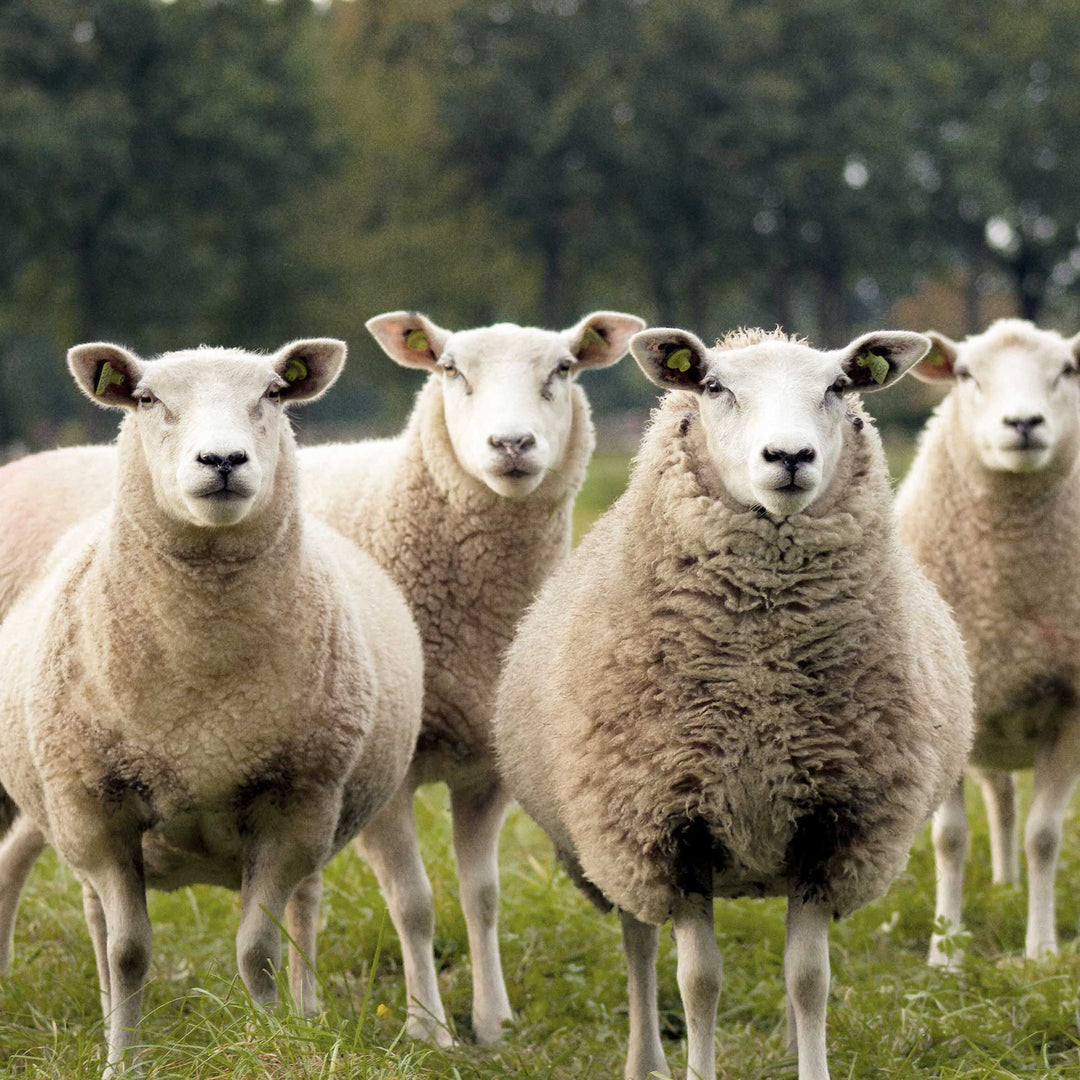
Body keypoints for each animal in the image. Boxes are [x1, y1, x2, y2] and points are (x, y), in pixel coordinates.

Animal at [0, 339, 423, 1076]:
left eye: (274, 394)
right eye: (147, 399)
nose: (222, 460)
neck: (203, 690)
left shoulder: (294, 805)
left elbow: (260, 948)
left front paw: (275, 1043)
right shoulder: (95, 808)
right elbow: (127, 951)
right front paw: (121, 1060)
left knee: (304, 907)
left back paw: (307, 1015)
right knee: (95, 919)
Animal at [299, 309, 644, 1043]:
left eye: (564, 368)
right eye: (451, 369)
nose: (511, 443)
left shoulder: (488, 768)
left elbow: (482, 897)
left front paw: (492, 1022)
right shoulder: (391, 772)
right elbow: (414, 903)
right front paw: (428, 1028)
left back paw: (299, 1007)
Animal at [494, 326, 974, 1080]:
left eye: (840, 387)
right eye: (715, 387)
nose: (789, 457)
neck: (760, 682)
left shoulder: (829, 827)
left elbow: (809, 978)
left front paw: (812, 1064)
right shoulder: (668, 827)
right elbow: (698, 982)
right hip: (615, 844)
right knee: (639, 948)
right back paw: (645, 1062)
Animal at [896, 317, 1080, 963]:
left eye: (1067, 370)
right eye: (966, 374)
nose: (1023, 424)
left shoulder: (1071, 709)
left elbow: (1044, 836)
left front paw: (1042, 949)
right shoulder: (942, 716)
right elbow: (950, 839)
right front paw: (944, 953)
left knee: (1009, 809)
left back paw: (1012, 889)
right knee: (999, 799)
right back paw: (1001, 887)